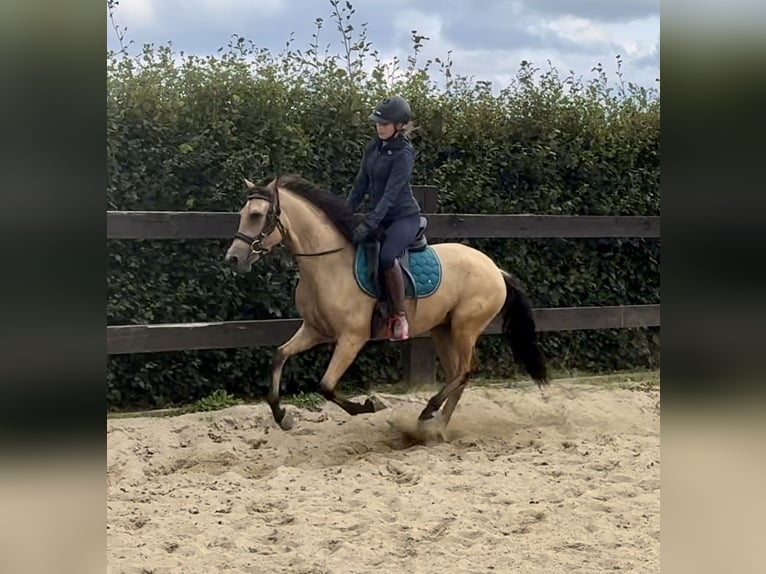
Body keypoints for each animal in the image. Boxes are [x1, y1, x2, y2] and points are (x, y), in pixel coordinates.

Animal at [224, 176, 552, 436]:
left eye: (257, 215)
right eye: (242, 214)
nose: (233, 259)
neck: (328, 264)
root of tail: (496, 270)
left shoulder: (351, 339)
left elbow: (325, 386)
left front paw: (369, 406)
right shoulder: (315, 331)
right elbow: (279, 356)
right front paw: (282, 416)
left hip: (465, 328)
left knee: (466, 371)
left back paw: (429, 414)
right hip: (443, 330)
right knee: (458, 374)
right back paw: (435, 428)